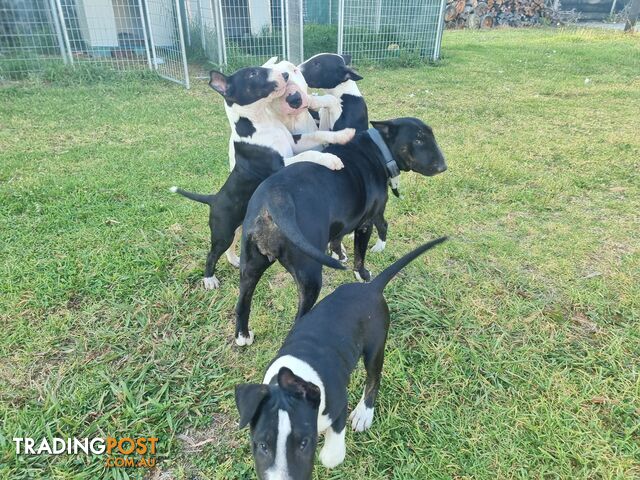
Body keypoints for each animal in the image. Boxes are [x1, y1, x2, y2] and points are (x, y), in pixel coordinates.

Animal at [232, 118, 448, 346]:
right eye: (418, 139)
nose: (443, 166)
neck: (378, 149)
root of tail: (275, 199)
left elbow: (338, 238)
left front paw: (339, 254)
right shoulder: (365, 224)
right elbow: (361, 254)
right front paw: (362, 274)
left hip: (250, 267)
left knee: (242, 304)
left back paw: (242, 335)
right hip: (309, 277)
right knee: (299, 318)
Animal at [232, 238, 448, 478]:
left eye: (304, 443)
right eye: (262, 445)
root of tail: (371, 287)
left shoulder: (338, 403)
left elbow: (332, 452)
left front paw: (330, 453)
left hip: (375, 347)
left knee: (374, 379)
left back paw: (364, 413)